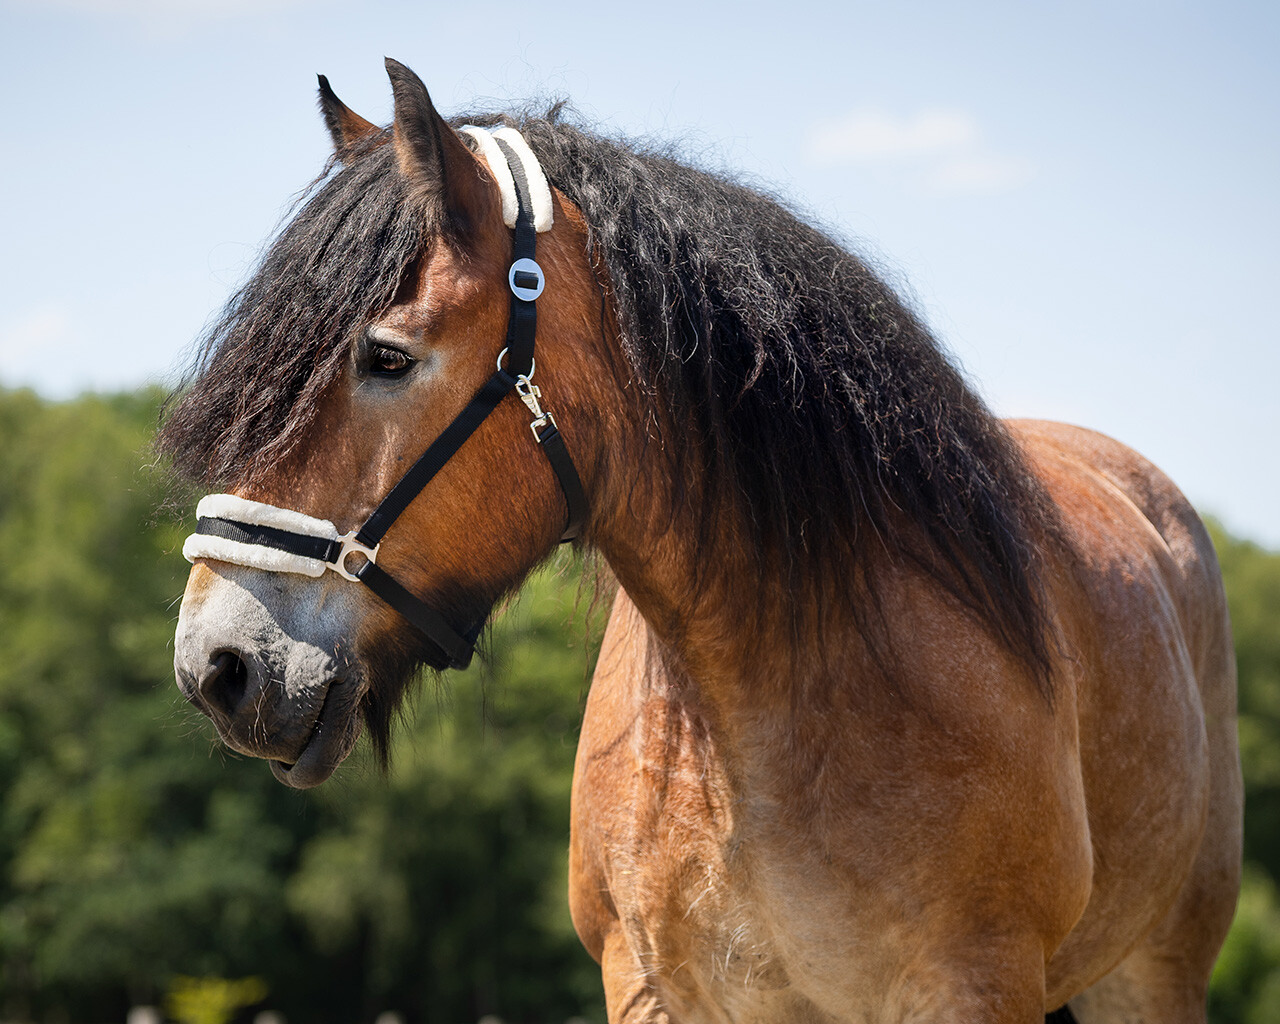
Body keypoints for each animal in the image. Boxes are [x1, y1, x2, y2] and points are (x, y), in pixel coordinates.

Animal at [163, 59, 1242, 1024]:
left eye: (386, 357)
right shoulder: (652, 987)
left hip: (1152, 971)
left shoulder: (970, 984)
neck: (764, 713)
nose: (216, 665)